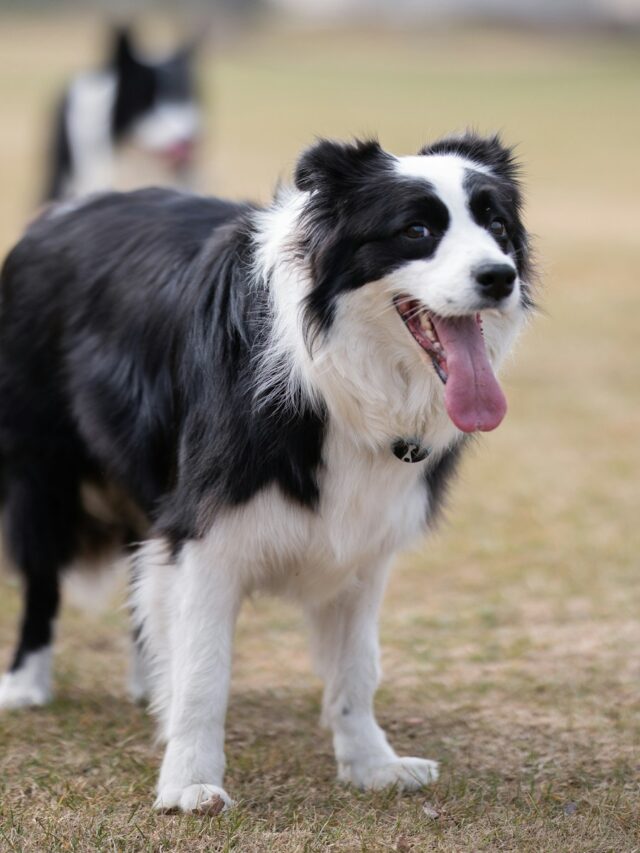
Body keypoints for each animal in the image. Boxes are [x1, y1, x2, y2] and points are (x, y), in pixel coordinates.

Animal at [0, 135, 532, 812]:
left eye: (497, 226)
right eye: (416, 230)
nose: (499, 277)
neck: (335, 373)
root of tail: (58, 213)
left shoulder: (366, 544)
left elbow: (357, 666)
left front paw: (372, 765)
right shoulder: (207, 530)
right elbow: (204, 672)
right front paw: (190, 782)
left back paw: (149, 683)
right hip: (43, 466)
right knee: (44, 576)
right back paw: (26, 684)